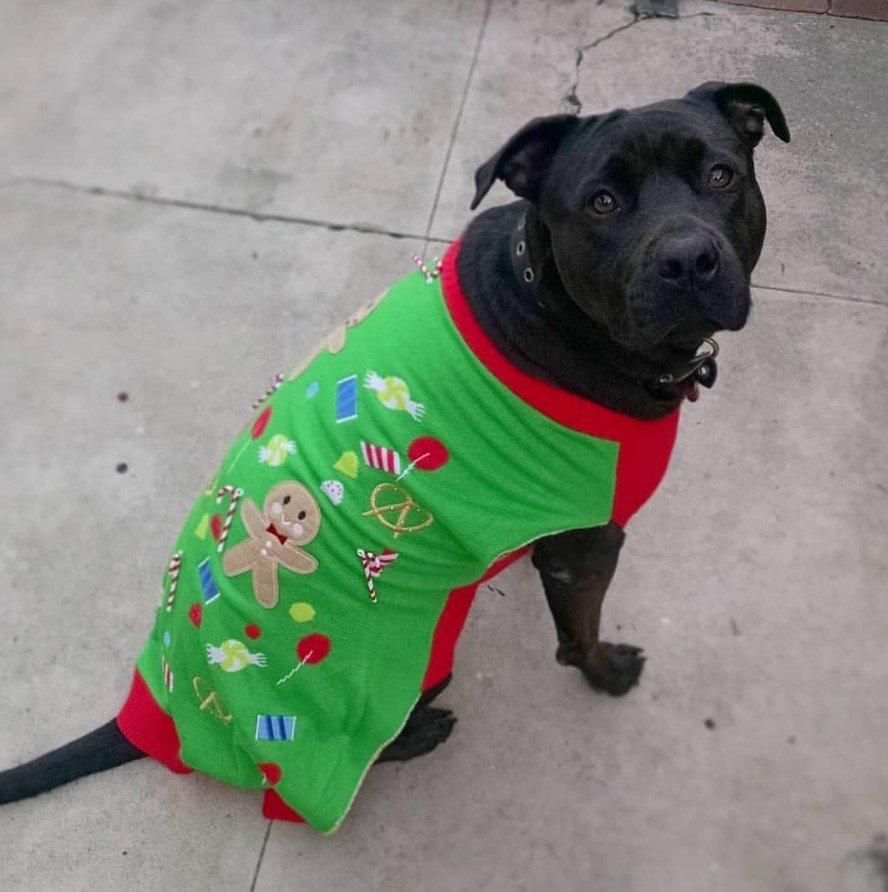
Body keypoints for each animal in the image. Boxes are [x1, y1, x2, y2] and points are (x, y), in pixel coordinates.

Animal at [0, 82, 792, 808]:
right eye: (600, 202)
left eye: (721, 175)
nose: (688, 259)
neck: (551, 306)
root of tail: (163, 712)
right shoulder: (589, 546)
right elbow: (579, 635)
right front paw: (606, 673)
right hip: (409, 666)